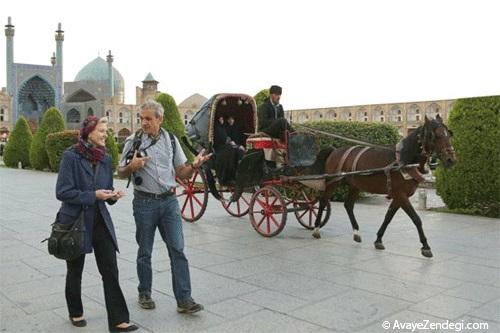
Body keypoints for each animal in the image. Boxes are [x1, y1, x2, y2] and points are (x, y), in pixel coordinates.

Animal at [314, 115, 456, 258]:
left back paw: (356, 232)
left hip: (355, 184)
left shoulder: (398, 196)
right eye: (435, 135)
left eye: (449, 134)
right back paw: (316, 228)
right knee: (323, 201)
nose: (451, 159)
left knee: (348, 205)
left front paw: (378, 239)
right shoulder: (401, 195)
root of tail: (334, 150)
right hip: (333, 181)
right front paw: (425, 246)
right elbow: (416, 218)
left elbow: (388, 216)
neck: (404, 161)